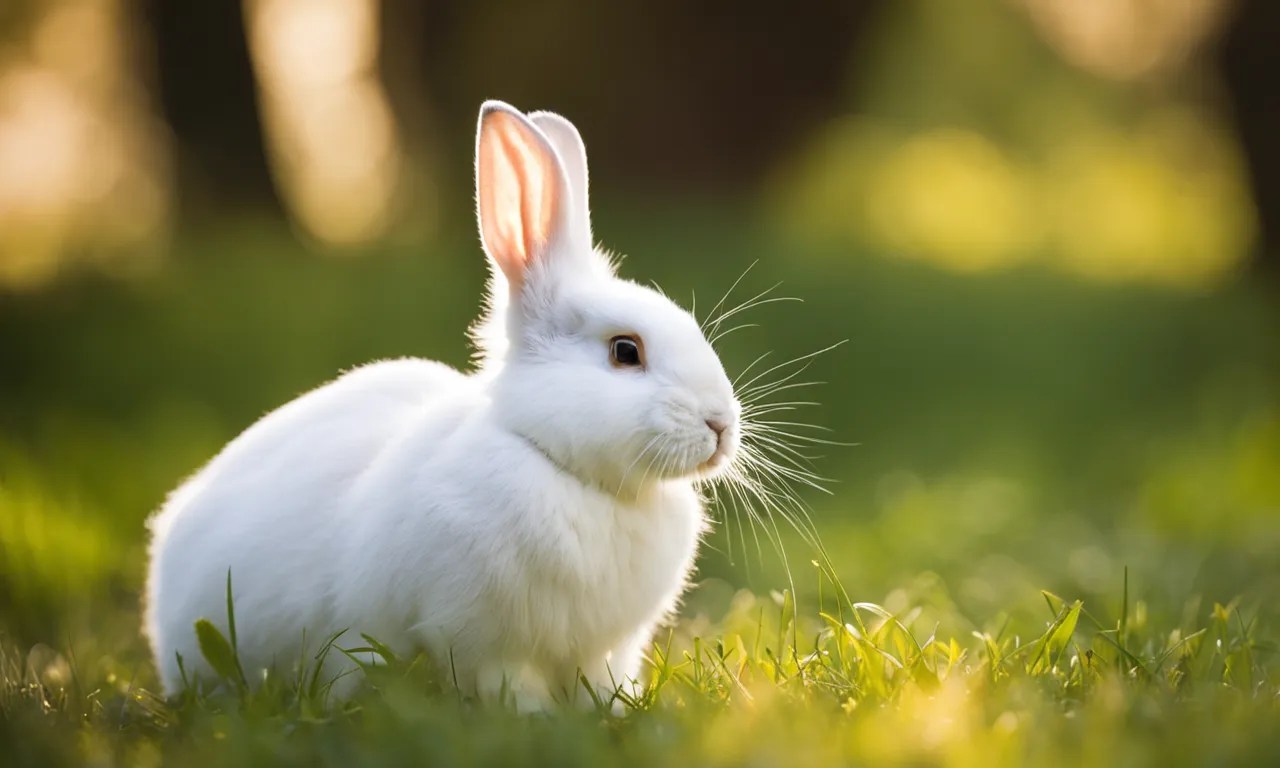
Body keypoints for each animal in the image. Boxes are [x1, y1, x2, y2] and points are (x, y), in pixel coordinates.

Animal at [144, 101, 741, 712]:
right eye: (626, 351)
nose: (721, 425)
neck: (570, 473)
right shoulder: (484, 641)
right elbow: (511, 684)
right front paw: (531, 719)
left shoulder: (608, 652)